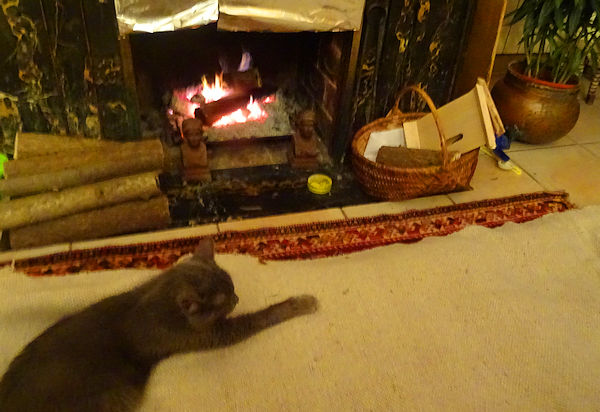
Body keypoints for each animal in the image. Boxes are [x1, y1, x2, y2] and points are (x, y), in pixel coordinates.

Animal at [0, 238, 318, 412]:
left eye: (232, 288)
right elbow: (262, 316)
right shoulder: (210, 335)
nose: (237, 298)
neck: (161, 294)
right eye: (223, 300)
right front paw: (302, 302)